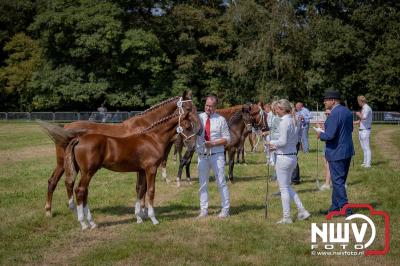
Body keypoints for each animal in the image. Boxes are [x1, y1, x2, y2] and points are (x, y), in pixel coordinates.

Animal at [41, 91, 196, 216]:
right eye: (188, 108)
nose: (198, 124)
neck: (146, 128)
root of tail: (67, 127)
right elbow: (142, 188)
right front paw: (144, 209)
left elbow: (142, 188)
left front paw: (142, 210)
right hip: (65, 163)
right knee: (59, 182)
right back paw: (55, 210)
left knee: (63, 182)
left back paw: (61, 210)